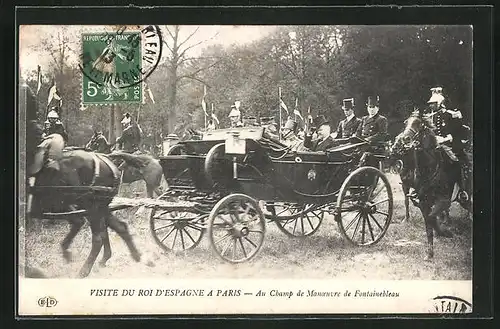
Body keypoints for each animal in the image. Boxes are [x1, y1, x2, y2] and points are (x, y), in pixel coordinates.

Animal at [26, 119, 142, 276]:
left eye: (94, 140)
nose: (88, 146)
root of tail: (109, 164)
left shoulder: (61, 205)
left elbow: (80, 223)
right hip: (98, 207)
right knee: (119, 227)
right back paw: (132, 256)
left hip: (91, 207)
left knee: (98, 238)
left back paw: (84, 270)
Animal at [388, 112, 466, 258]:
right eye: (406, 123)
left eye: (419, 124)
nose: (395, 148)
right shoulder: (408, 188)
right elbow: (411, 204)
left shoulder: (443, 199)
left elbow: (433, 215)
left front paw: (443, 231)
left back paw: (446, 221)